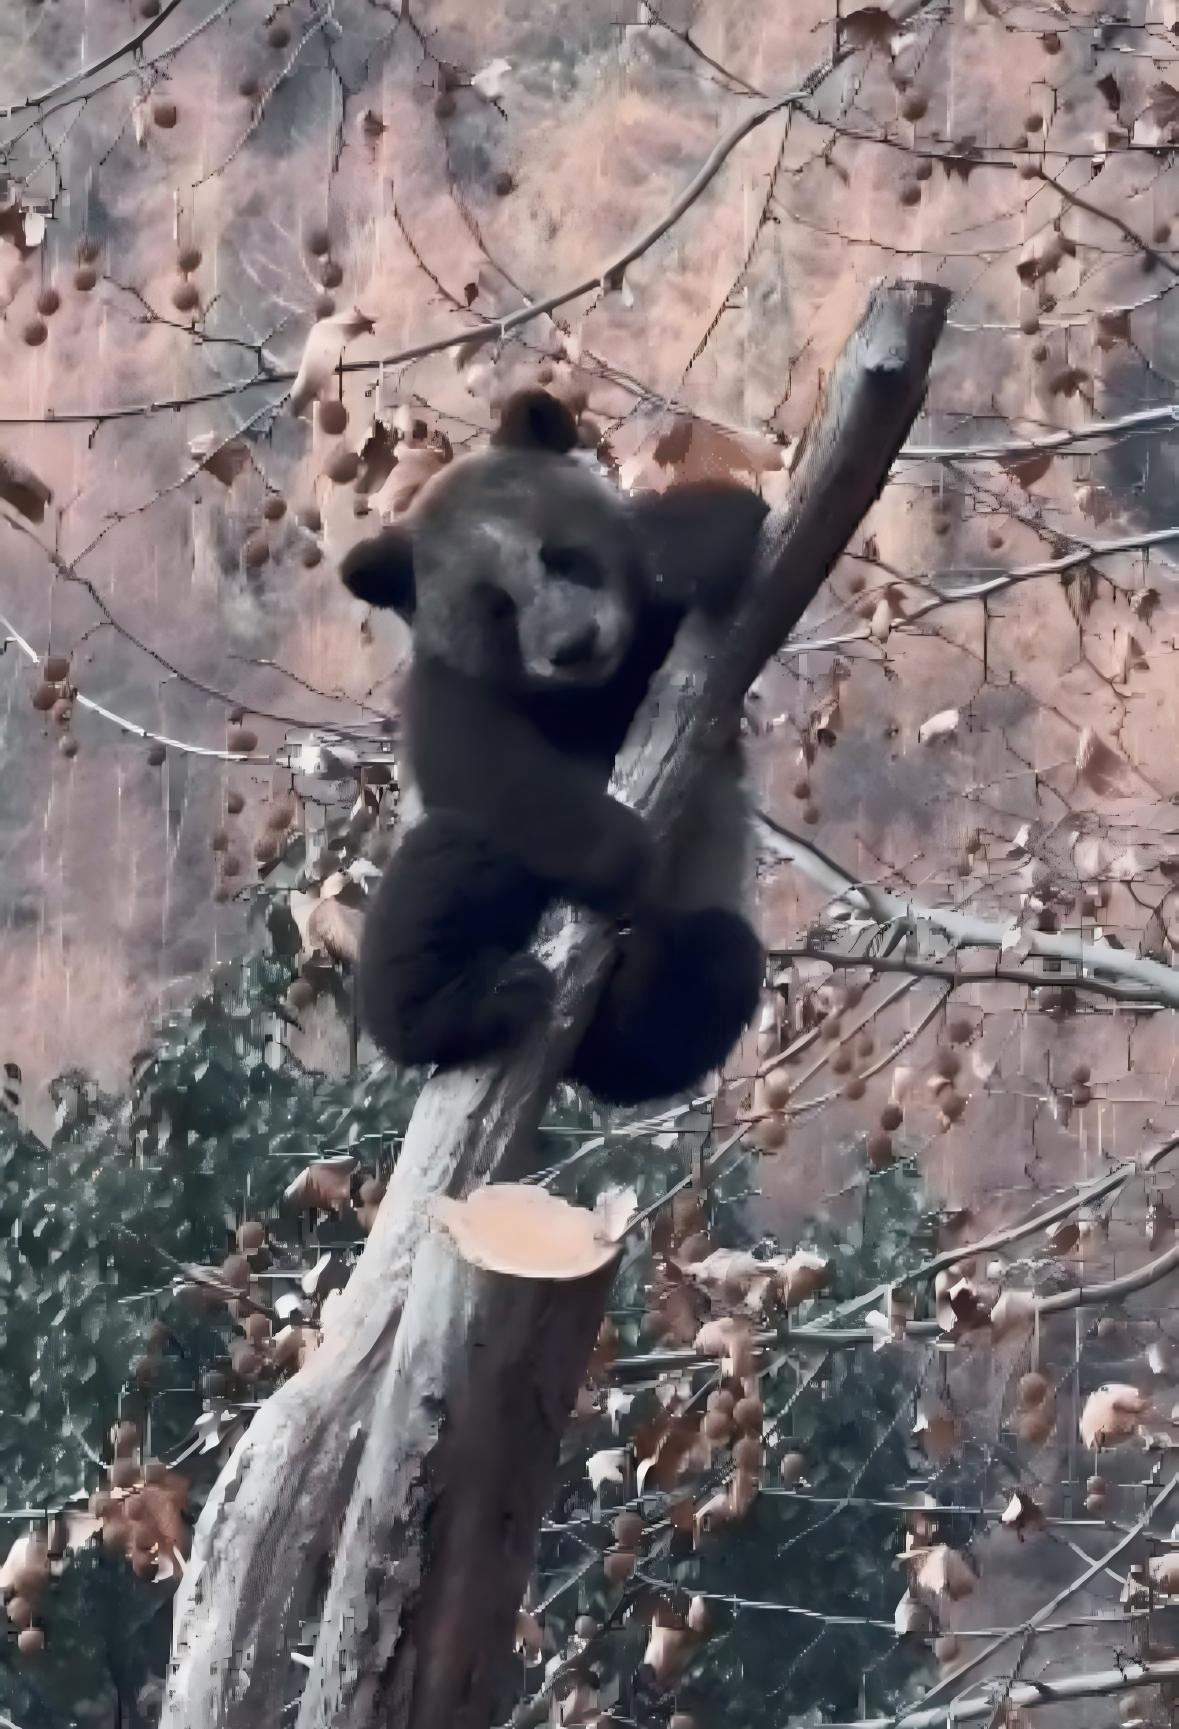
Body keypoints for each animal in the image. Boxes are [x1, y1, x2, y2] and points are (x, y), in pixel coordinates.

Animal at [338, 386, 770, 1106]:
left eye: (564, 557)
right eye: (497, 608)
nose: (573, 645)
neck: (587, 696)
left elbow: (722, 525)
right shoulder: (448, 688)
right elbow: (490, 774)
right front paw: (622, 851)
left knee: (709, 970)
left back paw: (637, 985)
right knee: (446, 871)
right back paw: (475, 1003)